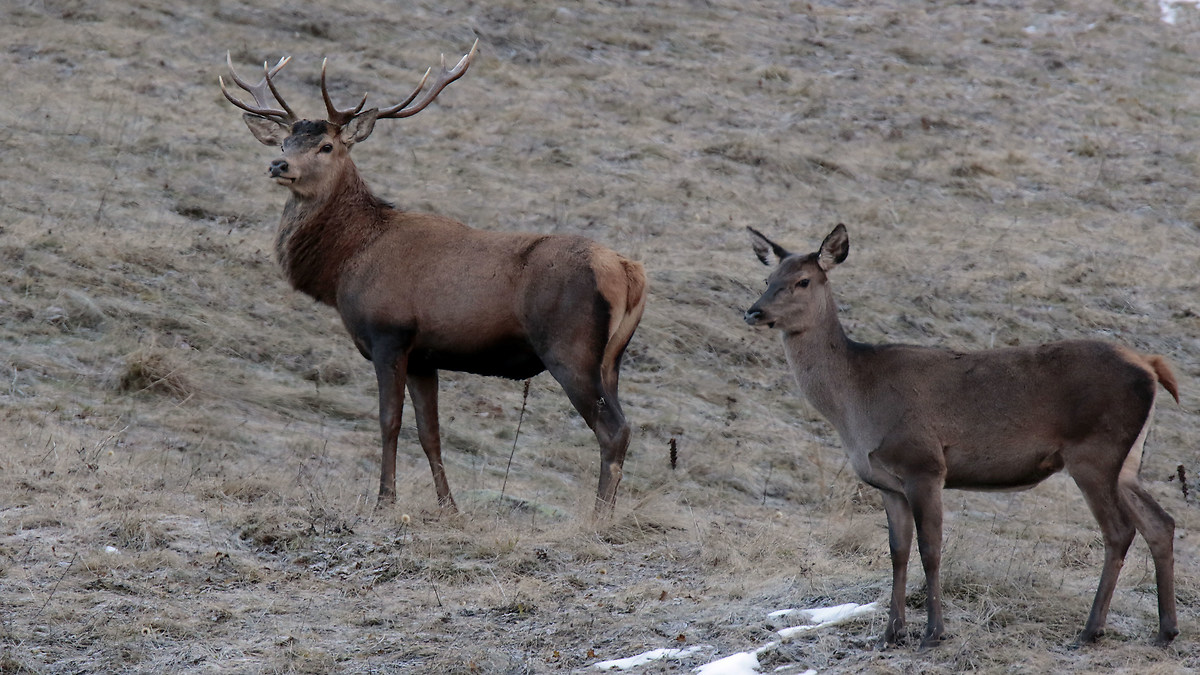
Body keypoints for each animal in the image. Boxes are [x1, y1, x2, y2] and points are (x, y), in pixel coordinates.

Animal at [219, 42, 646, 515]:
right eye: (285, 140)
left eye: (326, 145)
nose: (279, 164)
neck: (347, 261)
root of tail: (630, 272)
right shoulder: (426, 356)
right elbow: (430, 433)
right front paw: (448, 508)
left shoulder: (389, 334)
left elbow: (389, 422)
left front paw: (384, 501)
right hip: (611, 359)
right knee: (623, 426)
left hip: (570, 348)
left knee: (612, 429)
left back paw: (598, 519)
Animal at [743, 224, 1179, 650]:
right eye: (767, 278)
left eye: (802, 281)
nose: (753, 311)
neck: (856, 403)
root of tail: (1150, 365)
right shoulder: (887, 483)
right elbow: (897, 552)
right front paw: (891, 633)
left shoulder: (924, 464)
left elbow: (930, 549)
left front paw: (933, 633)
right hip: (1127, 462)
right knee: (1160, 522)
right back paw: (1165, 631)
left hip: (1095, 452)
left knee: (1120, 531)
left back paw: (1091, 631)